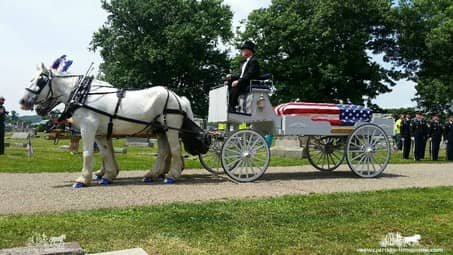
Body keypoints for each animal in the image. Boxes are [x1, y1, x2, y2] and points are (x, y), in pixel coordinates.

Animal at [19, 63, 192, 187]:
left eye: (40, 80)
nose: (22, 101)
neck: (83, 95)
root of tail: (178, 98)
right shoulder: (101, 133)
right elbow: (106, 153)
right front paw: (108, 175)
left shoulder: (88, 128)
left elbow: (87, 153)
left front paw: (83, 179)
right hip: (159, 130)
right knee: (163, 152)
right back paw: (152, 175)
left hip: (171, 129)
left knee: (175, 149)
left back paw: (172, 175)